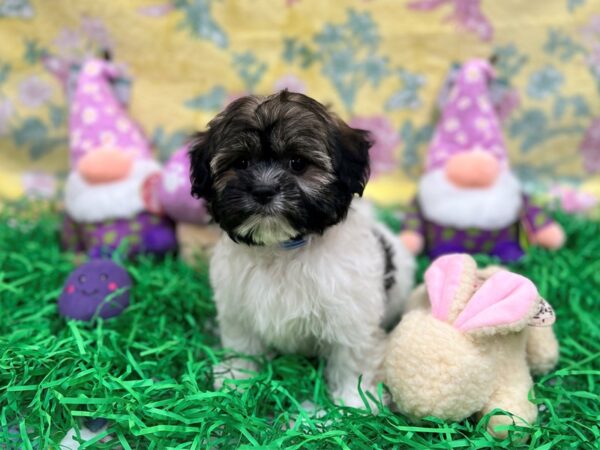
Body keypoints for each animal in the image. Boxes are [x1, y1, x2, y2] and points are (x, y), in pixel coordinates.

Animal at [190, 91, 414, 408]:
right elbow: (243, 343)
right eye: (242, 162)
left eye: (297, 163)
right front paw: (237, 380)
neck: (282, 248)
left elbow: (352, 358)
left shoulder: (351, 315)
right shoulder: (237, 306)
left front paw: (354, 402)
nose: (263, 191)